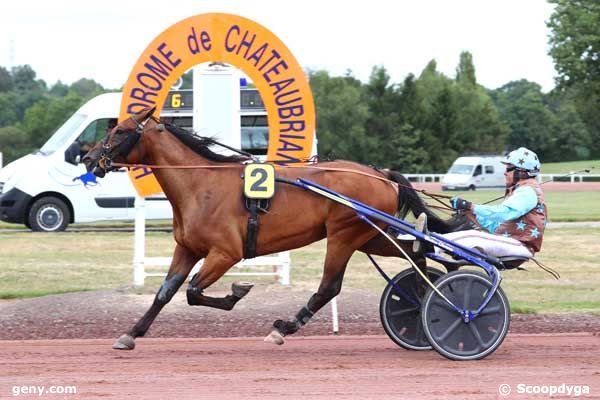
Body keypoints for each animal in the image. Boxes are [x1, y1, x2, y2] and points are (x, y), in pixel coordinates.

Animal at [82, 108, 462, 348]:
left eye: (119, 131)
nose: (88, 158)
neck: (200, 184)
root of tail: (381, 174)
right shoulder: (187, 248)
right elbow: (166, 292)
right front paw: (131, 334)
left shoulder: (226, 253)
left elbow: (193, 291)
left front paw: (238, 292)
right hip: (371, 236)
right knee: (420, 252)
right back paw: (432, 294)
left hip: (345, 235)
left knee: (329, 287)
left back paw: (285, 328)